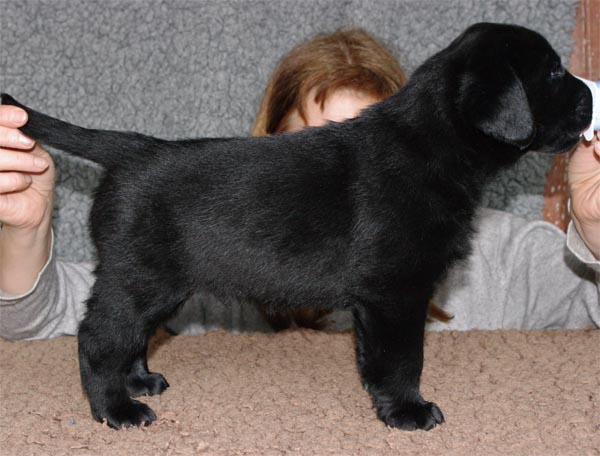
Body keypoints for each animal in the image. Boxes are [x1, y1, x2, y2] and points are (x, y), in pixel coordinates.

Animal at [2, 22, 591, 431]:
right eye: (554, 73)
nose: (591, 95)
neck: (431, 143)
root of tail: (133, 149)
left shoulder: (377, 301)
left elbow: (375, 357)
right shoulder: (396, 292)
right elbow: (403, 358)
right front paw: (408, 412)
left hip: (157, 284)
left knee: (130, 337)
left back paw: (140, 382)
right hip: (139, 277)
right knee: (99, 336)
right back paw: (116, 409)